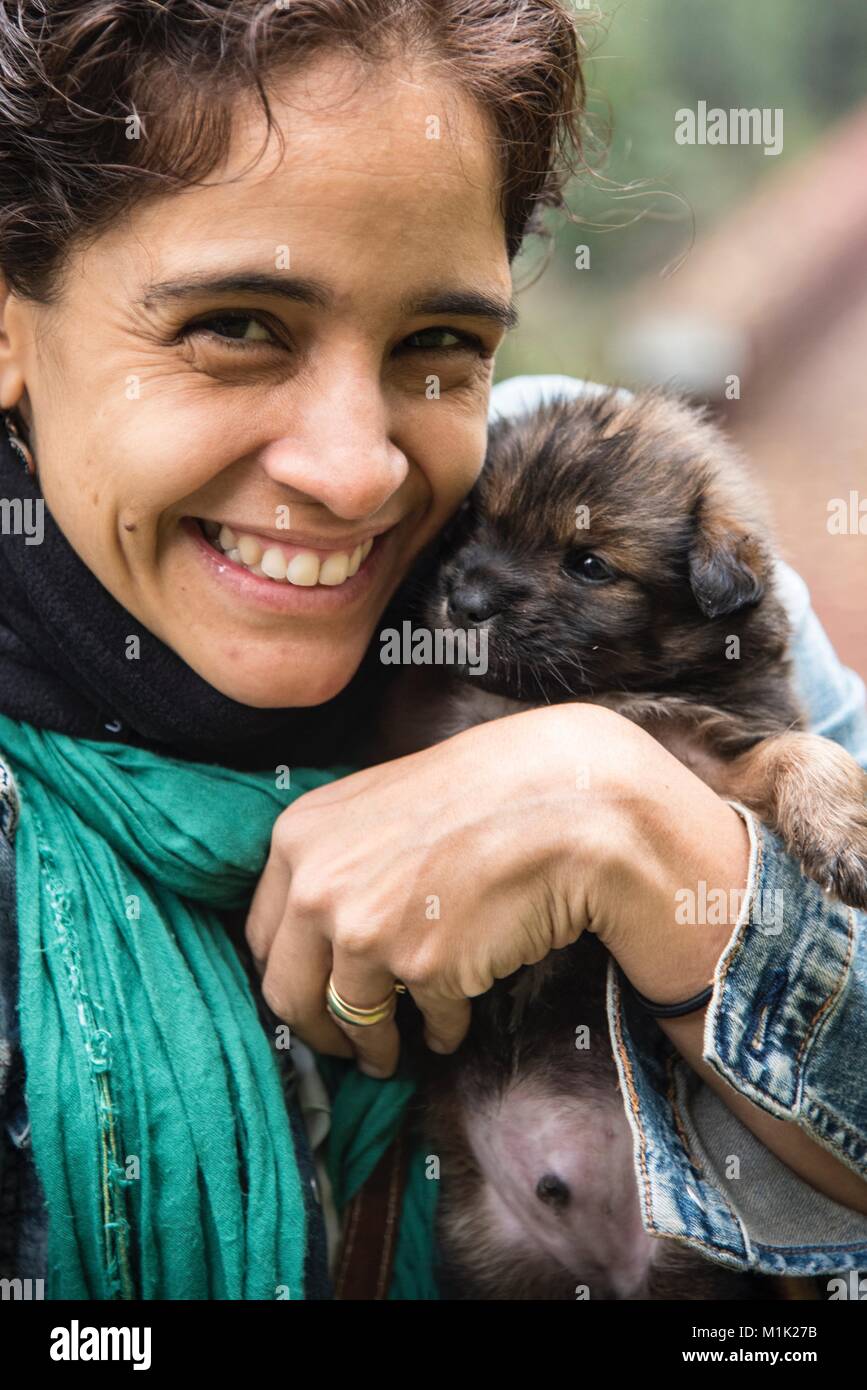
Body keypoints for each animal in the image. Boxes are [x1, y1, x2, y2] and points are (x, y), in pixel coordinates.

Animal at [389, 389, 867, 1301]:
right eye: (476, 519)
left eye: (587, 564)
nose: (463, 599)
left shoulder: (706, 752)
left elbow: (796, 751)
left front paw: (842, 826)